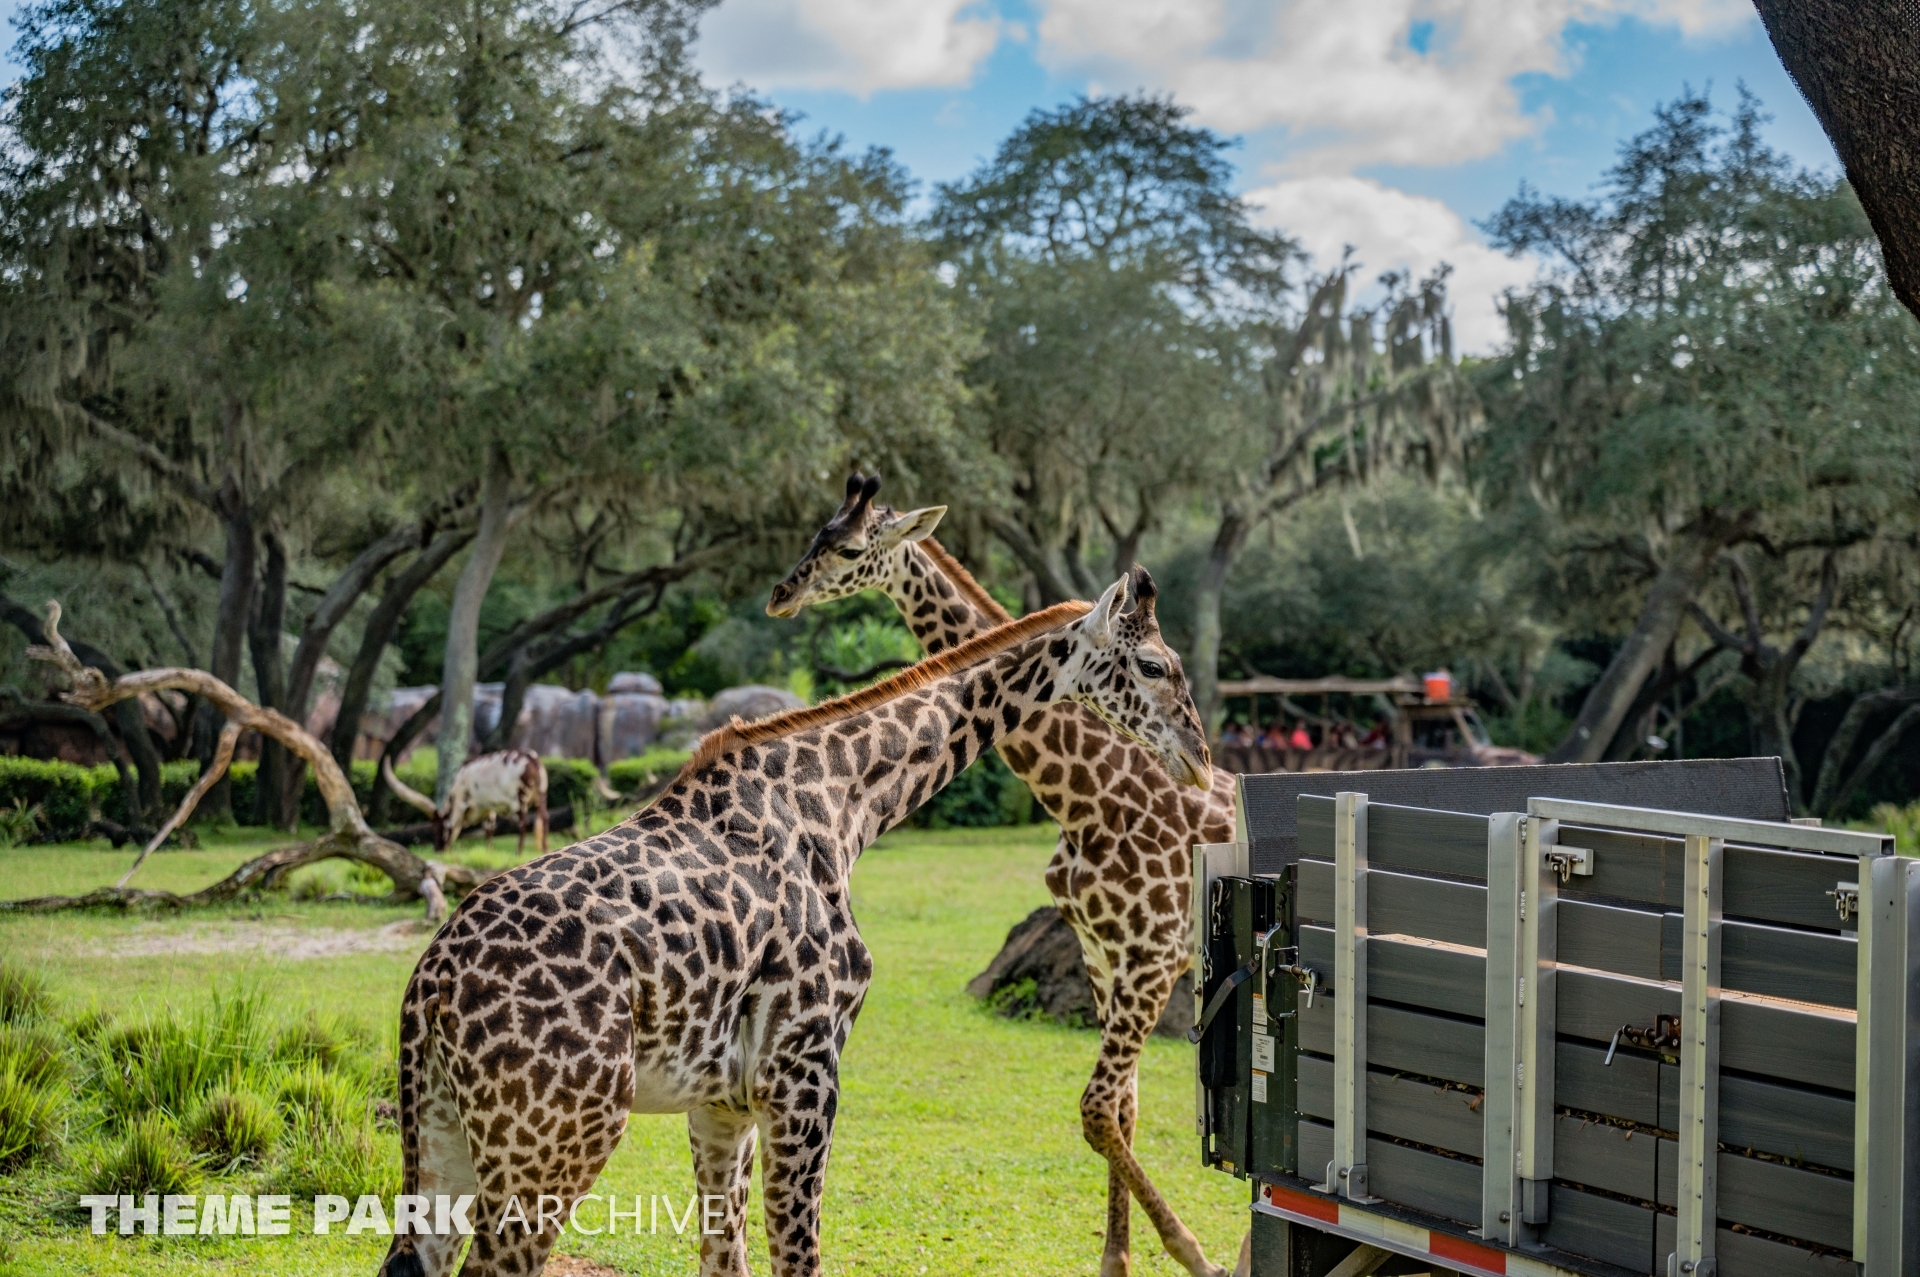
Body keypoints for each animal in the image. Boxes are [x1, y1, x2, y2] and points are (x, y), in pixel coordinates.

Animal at [380, 571, 1211, 1277]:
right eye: (1154, 665)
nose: (1201, 760)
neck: (843, 802)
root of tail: (429, 986)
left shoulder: (721, 1103)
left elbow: (728, 1258)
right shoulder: (807, 1072)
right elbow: (797, 1257)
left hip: (449, 1130)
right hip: (559, 1134)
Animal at [767, 474, 1241, 1277]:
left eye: (851, 548)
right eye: (817, 534)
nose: (782, 591)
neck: (1088, 796)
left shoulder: (1150, 960)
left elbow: (1097, 1109)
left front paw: (1194, 1254)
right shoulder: (1105, 957)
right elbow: (1121, 1110)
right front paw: (1118, 1259)